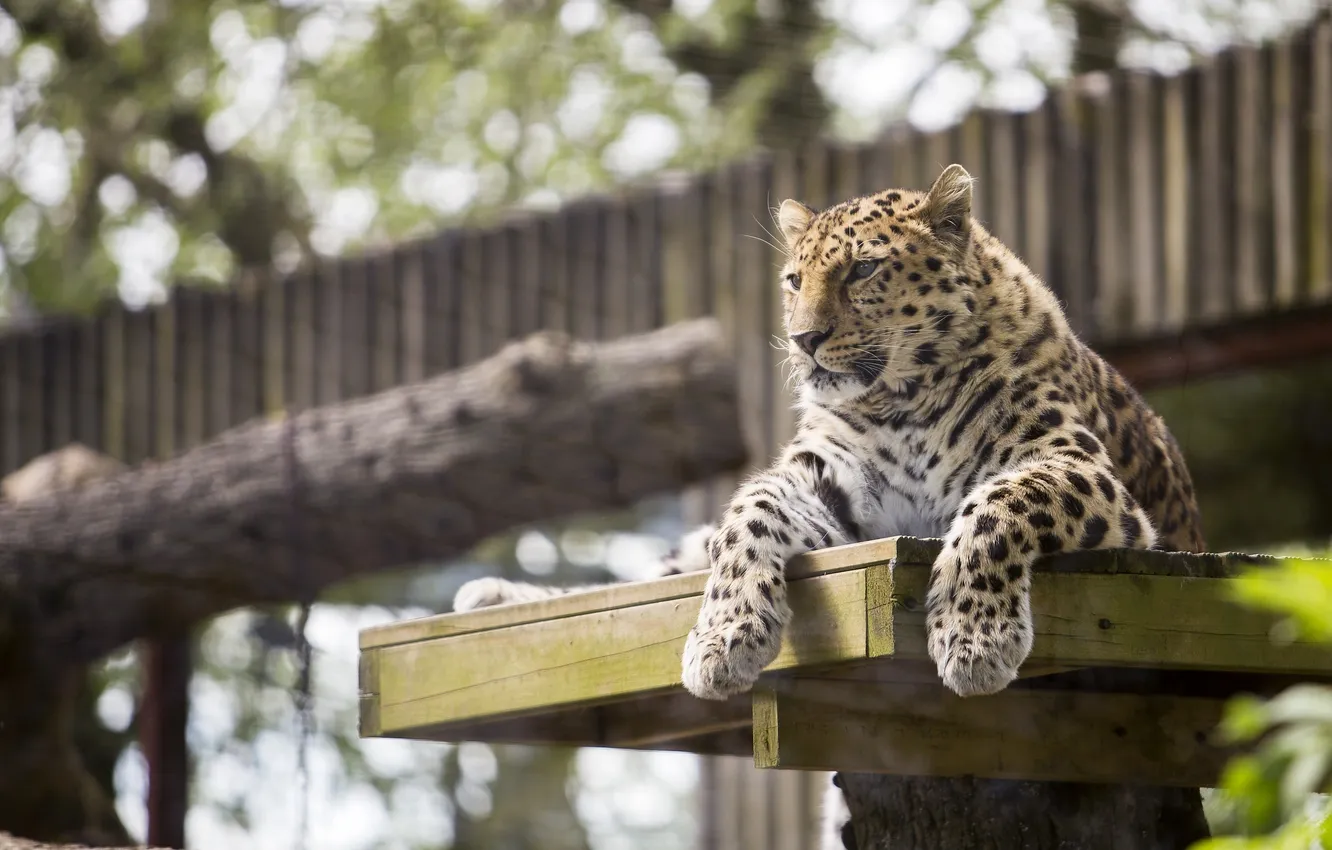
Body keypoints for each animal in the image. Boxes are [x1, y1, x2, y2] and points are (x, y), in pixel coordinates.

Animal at [450, 163, 1206, 848]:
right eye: (794, 281)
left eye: (863, 270)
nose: (803, 339)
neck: (903, 401)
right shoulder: (825, 485)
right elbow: (746, 514)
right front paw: (724, 636)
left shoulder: (1083, 470)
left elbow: (998, 505)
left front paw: (974, 638)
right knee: (663, 567)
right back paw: (492, 596)